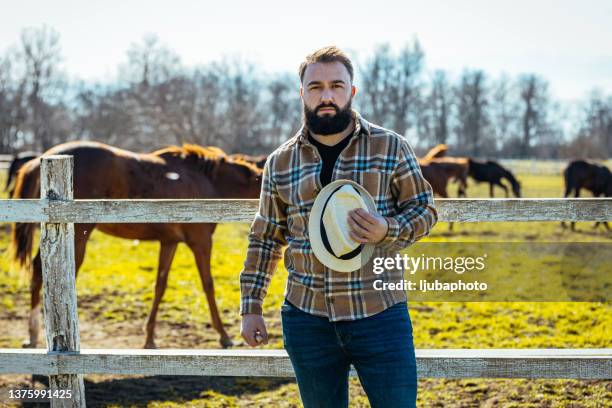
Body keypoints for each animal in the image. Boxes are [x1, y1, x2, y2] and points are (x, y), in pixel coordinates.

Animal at [10, 140, 262, 348]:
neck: (206, 180)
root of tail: (40, 159)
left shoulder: (169, 242)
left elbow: (160, 286)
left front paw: (150, 337)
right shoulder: (201, 242)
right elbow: (208, 285)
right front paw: (224, 335)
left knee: (37, 270)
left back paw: (33, 335)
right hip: (78, 238)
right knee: (44, 272)